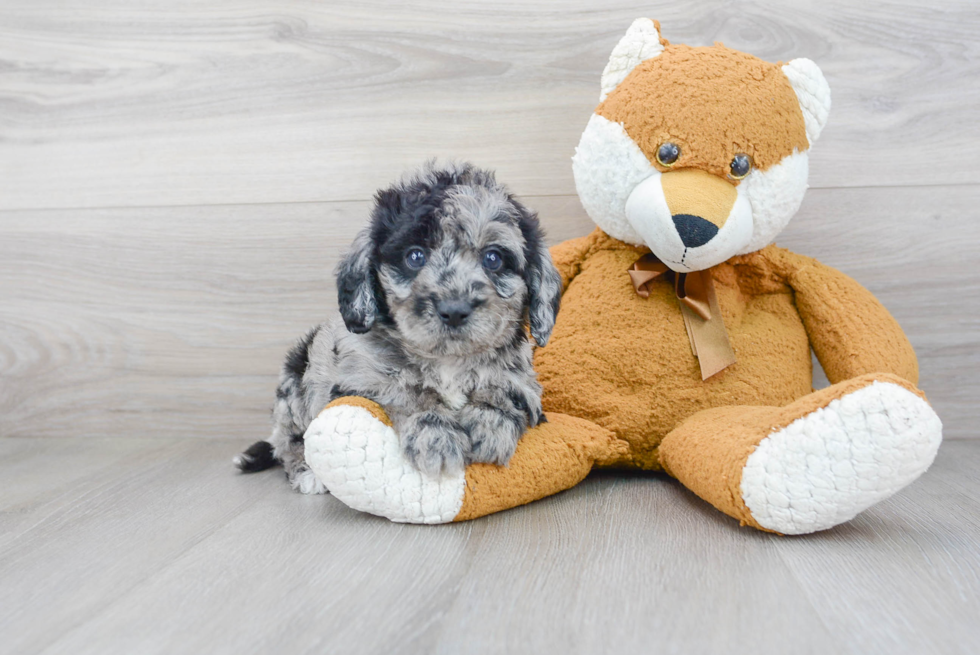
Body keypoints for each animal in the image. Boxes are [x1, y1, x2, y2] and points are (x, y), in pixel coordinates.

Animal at [233, 161, 564, 494]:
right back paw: (306, 472)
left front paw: (489, 427)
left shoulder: (523, 381)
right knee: (287, 441)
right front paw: (437, 438)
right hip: (294, 386)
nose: (454, 310)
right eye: (415, 256)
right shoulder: (363, 378)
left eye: (493, 259)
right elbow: (406, 393)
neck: (447, 361)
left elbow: (504, 391)